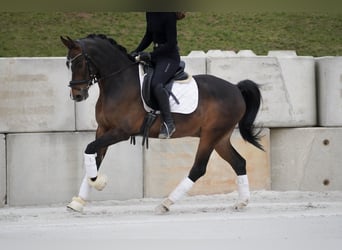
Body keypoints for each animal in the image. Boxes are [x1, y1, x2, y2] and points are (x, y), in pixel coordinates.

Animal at [60, 33, 264, 213]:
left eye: (79, 62)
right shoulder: (103, 129)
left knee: (198, 168)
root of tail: (235, 89)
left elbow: (89, 148)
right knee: (239, 163)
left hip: (211, 135)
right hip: (220, 138)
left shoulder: (120, 132)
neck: (119, 83)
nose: (77, 95)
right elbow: (95, 156)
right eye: (68, 64)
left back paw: (165, 204)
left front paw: (97, 181)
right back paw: (242, 202)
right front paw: (78, 201)